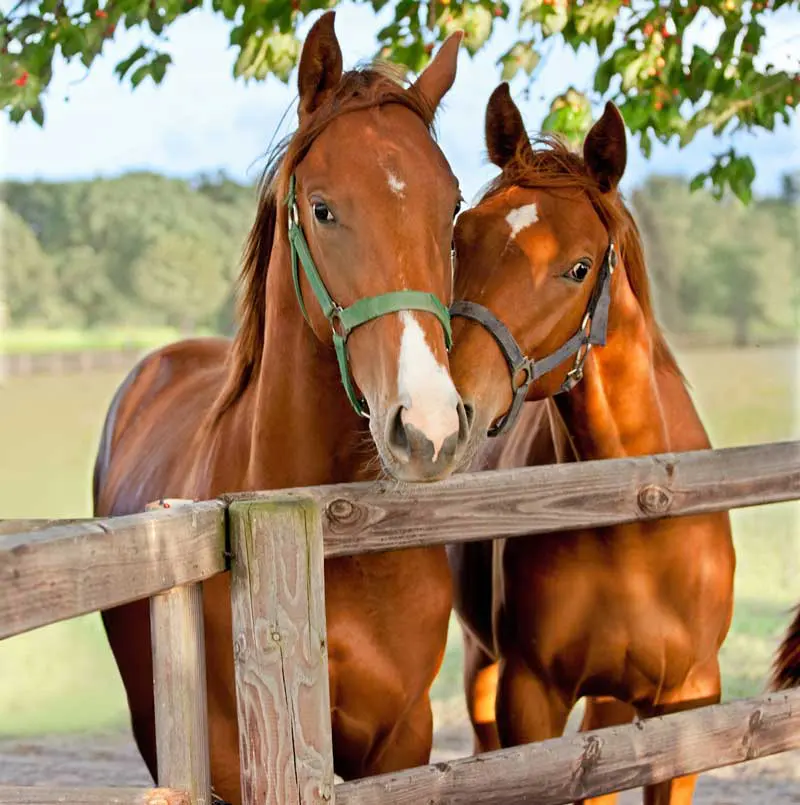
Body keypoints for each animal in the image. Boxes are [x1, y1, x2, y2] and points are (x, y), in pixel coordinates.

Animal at [446, 83, 746, 805]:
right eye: (460, 239)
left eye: (577, 267)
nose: (448, 403)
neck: (635, 516)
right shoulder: (530, 699)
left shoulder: (687, 706)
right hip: (484, 671)